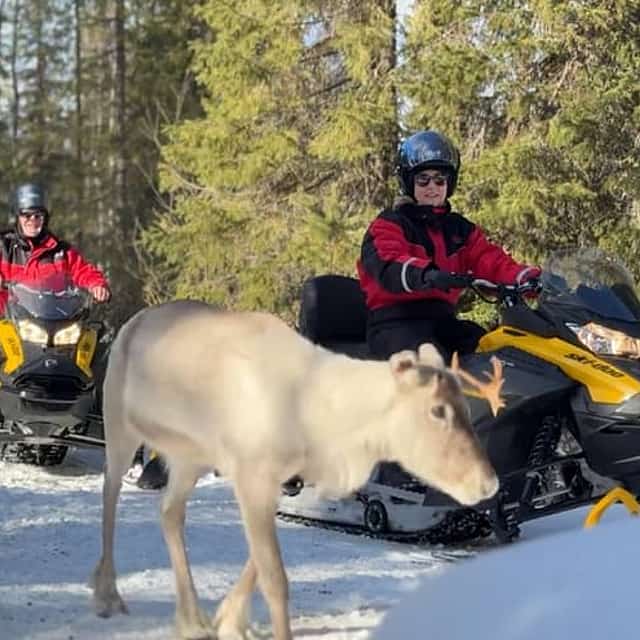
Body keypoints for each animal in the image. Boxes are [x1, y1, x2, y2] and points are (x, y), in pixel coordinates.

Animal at [91, 300, 500, 640]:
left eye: (465, 404)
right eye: (437, 410)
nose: (488, 483)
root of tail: (132, 322)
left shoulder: (286, 478)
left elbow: (258, 561)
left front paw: (228, 620)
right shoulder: (252, 473)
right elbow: (275, 577)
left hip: (190, 456)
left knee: (170, 512)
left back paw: (192, 620)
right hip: (118, 425)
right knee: (110, 493)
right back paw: (107, 594)